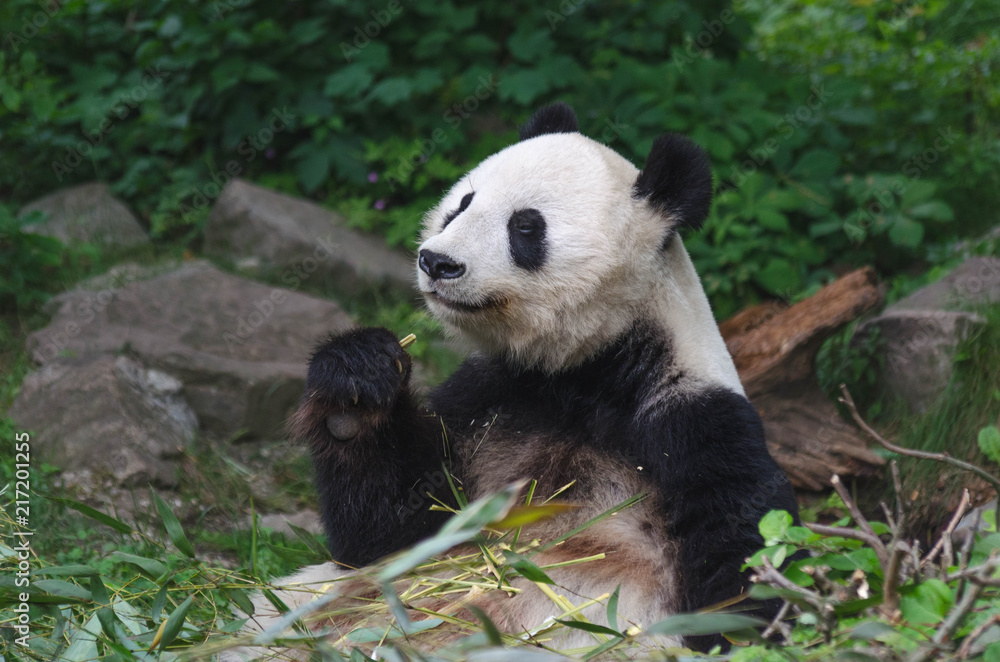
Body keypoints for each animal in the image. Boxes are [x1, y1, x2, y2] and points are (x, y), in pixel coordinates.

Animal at [263, 103, 799, 656]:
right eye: (462, 204)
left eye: (525, 227)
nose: (436, 262)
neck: (584, 371)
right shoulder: (489, 397)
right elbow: (391, 534)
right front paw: (355, 387)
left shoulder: (693, 420)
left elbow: (742, 558)